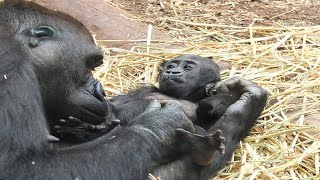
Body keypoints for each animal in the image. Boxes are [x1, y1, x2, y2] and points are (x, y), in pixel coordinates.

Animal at [55, 54, 239, 166]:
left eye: (188, 67)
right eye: (172, 65)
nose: (172, 71)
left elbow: (213, 109)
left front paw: (214, 92)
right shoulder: (144, 90)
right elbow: (116, 104)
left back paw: (203, 147)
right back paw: (84, 131)